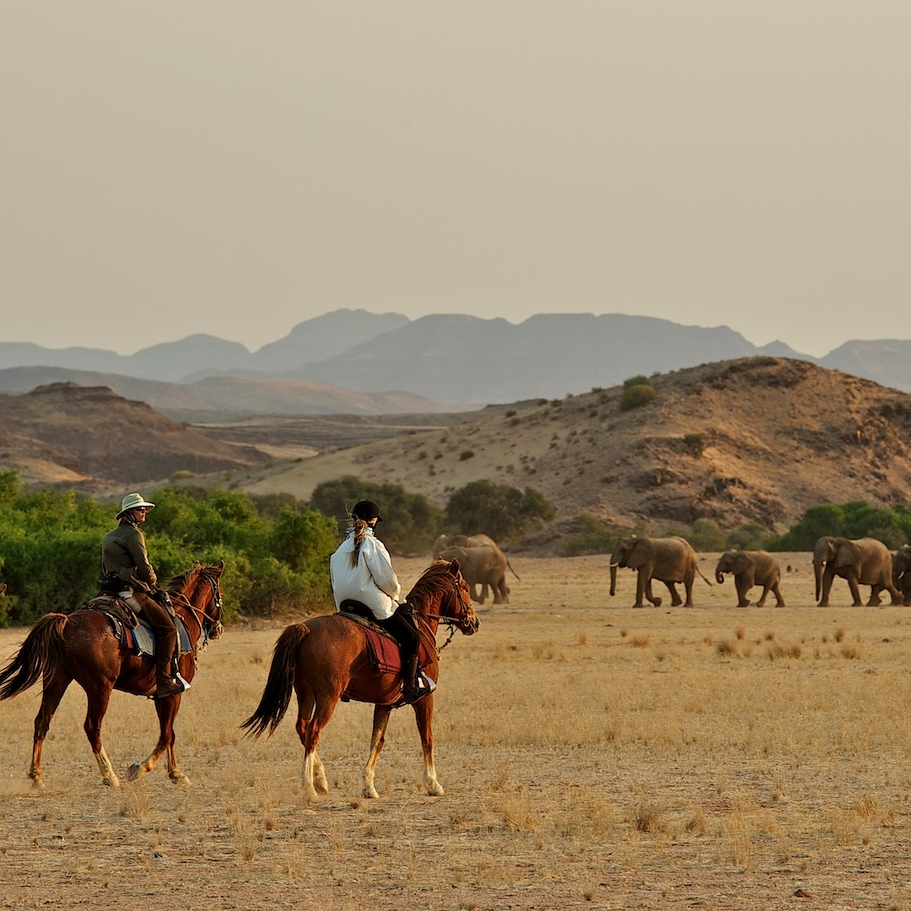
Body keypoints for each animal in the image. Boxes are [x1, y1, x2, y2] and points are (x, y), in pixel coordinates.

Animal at [0, 560, 225, 788]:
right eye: (220, 593)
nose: (218, 628)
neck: (182, 618)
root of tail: (66, 623)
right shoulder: (173, 693)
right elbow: (167, 735)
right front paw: (141, 769)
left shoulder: (161, 696)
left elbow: (168, 733)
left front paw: (175, 772)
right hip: (100, 689)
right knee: (92, 726)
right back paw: (109, 774)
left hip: (57, 681)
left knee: (42, 721)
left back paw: (37, 776)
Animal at [242, 560, 484, 800]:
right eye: (465, 588)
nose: (474, 622)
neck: (421, 624)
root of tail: (306, 629)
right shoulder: (424, 699)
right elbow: (427, 737)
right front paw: (433, 783)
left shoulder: (384, 703)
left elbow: (377, 740)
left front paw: (368, 785)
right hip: (327, 697)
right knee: (313, 732)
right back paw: (309, 787)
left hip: (305, 693)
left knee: (302, 727)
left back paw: (320, 779)